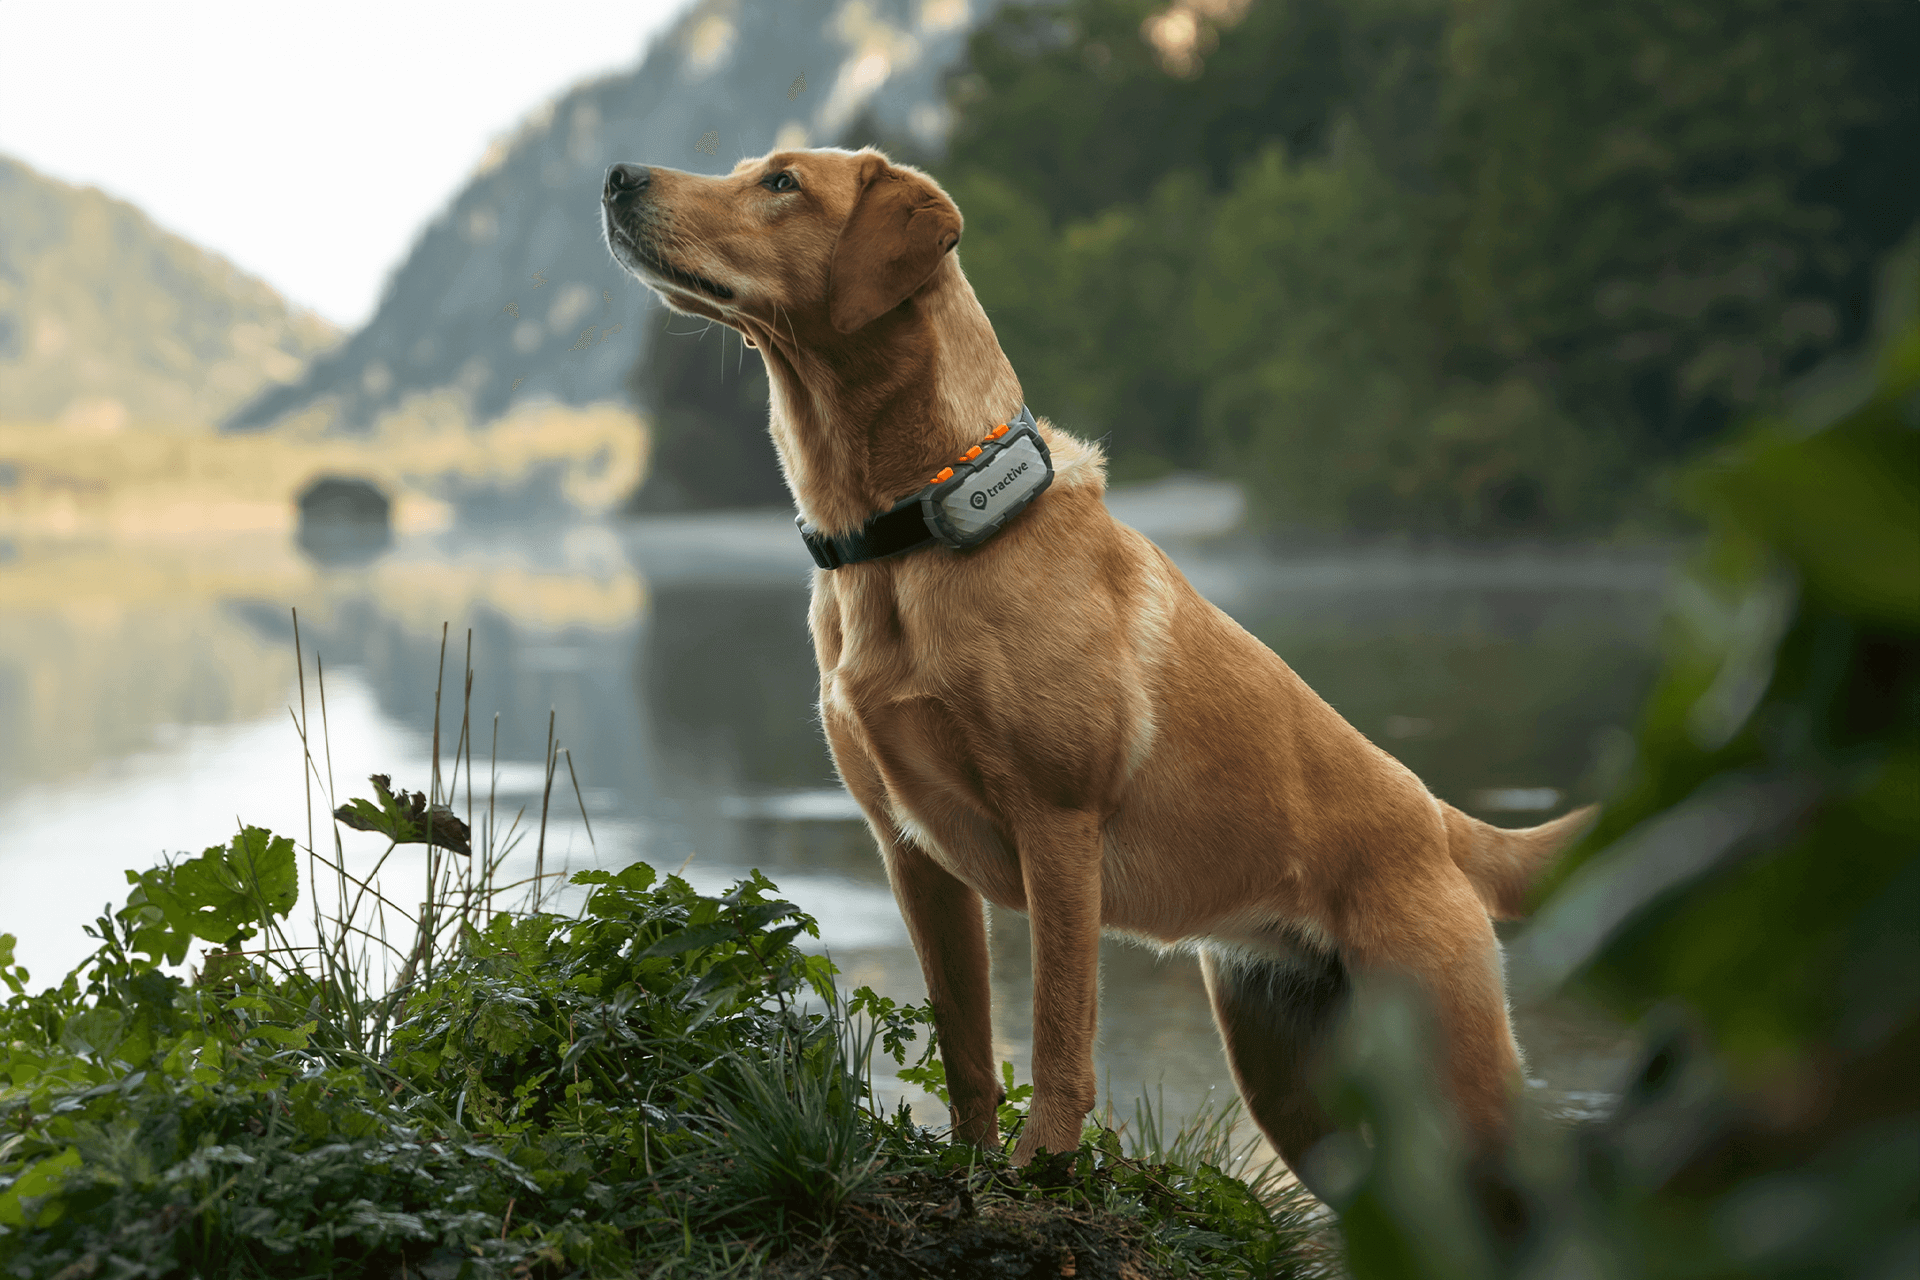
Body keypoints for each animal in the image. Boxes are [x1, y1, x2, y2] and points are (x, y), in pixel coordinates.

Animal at [606, 144, 1597, 1189]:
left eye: (783, 184)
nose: (619, 176)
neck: (913, 531)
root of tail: (1439, 821)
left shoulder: (1058, 824)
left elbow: (1056, 1032)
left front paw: (1040, 1164)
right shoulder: (911, 854)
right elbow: (967, 1043)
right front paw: (971, 1164)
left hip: (1456, 1064)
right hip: (1287, 1083)